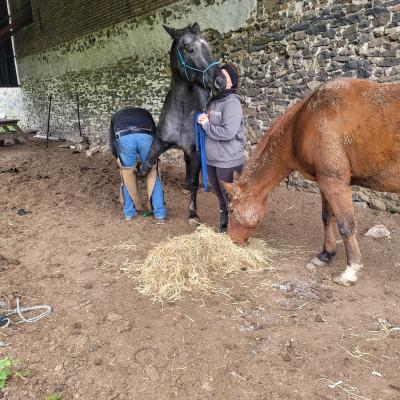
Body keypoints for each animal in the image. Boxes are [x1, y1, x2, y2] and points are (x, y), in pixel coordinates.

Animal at [138, 23, 225, 220]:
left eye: (208, 46)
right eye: (190, 49)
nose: (221, 81)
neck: (182, 112)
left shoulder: (195, 151)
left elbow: (194, 182)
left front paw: (193, 213)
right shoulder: (159, 142)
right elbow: (147, 165)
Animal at [223, 77, 400, 284]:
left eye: (231, 209)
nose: (232, 241)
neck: (306, 120)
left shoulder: (335, 184)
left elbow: (346, 225)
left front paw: (351, 270)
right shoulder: (325, 184)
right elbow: (327, 218)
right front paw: (325, 255)